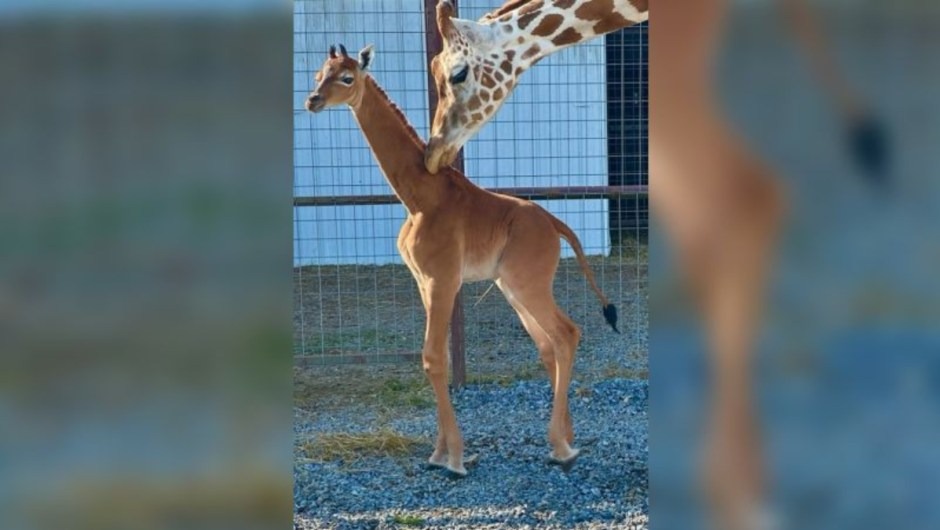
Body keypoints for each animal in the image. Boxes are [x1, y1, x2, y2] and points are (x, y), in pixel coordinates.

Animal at [304, 44, 620, 474]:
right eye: (319, 73)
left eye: (347, 77)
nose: (312, 100)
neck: (419, 197)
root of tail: (556, 224)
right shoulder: (424, 282)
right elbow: (436, 358)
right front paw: (439, 452)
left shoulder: (443, 280)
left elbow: (433, 357)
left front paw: (452, 457)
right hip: (511, 287)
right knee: (548, 343)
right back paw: (567, 438)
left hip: (528, 283)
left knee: (566, 333)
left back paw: (561, 446)